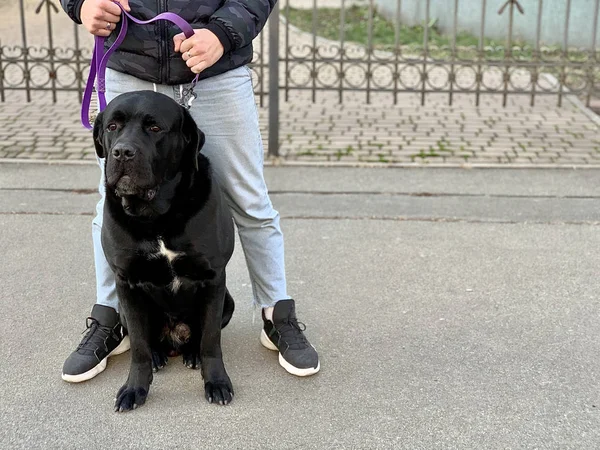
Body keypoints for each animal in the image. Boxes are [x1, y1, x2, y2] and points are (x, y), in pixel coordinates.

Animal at [92, 90, 236, 412]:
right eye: (112, 127)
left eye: (155, 128)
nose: (122, 152)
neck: (155, 214)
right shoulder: (126, 283)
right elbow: (139, 347)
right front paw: (134, 389)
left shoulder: (214, 277)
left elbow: (211, 340)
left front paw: (217, 382)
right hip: (122, 309)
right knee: (147, 340)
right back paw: (158, 357)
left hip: (227, 302)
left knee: (200, 337)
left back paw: (191, 354)